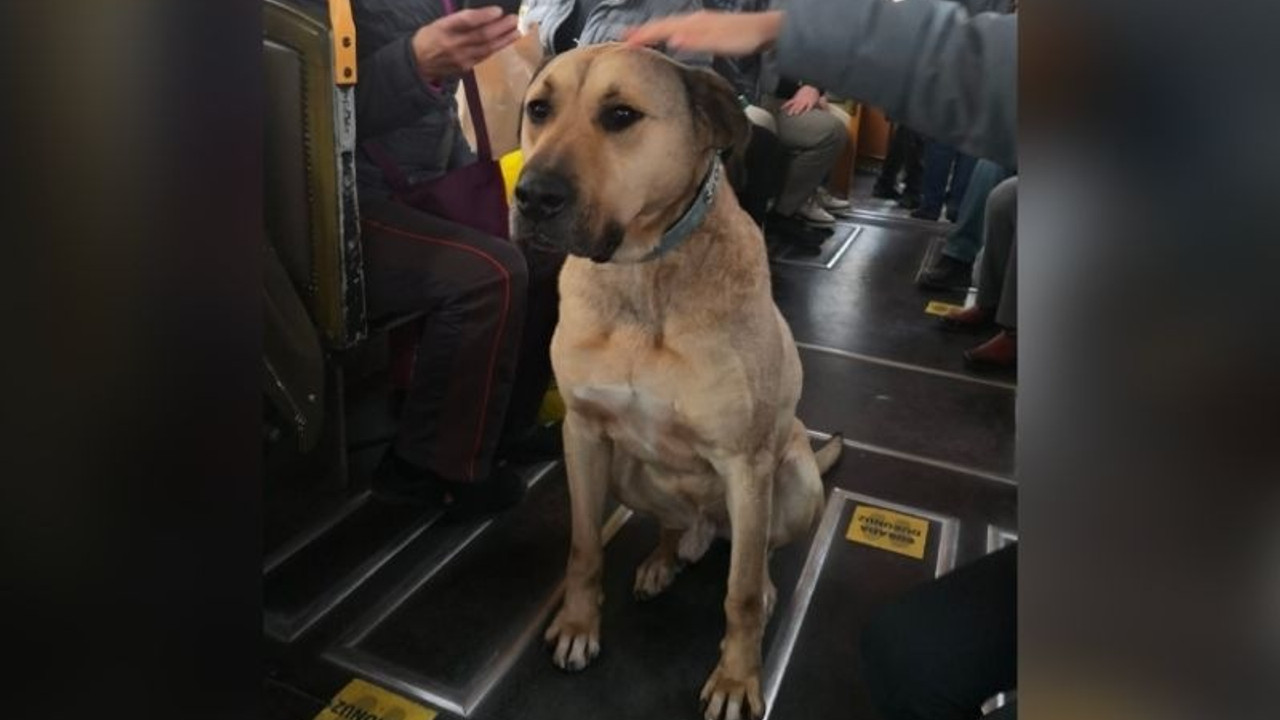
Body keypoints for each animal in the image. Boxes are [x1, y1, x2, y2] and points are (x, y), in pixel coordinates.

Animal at [509, 44, 839, 717]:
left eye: (621, 115)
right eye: (538, 110)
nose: (531, 196)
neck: (643, 273)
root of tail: (705, 530)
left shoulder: (746, 464)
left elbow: (739, 594)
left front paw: (738, 679)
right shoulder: (583, 434)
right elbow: (583, 545)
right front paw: (578, 625)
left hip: (792, 484)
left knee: (757, 551)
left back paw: (766, 585)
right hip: (629, 474)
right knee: (669, 526)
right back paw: (664, 560)